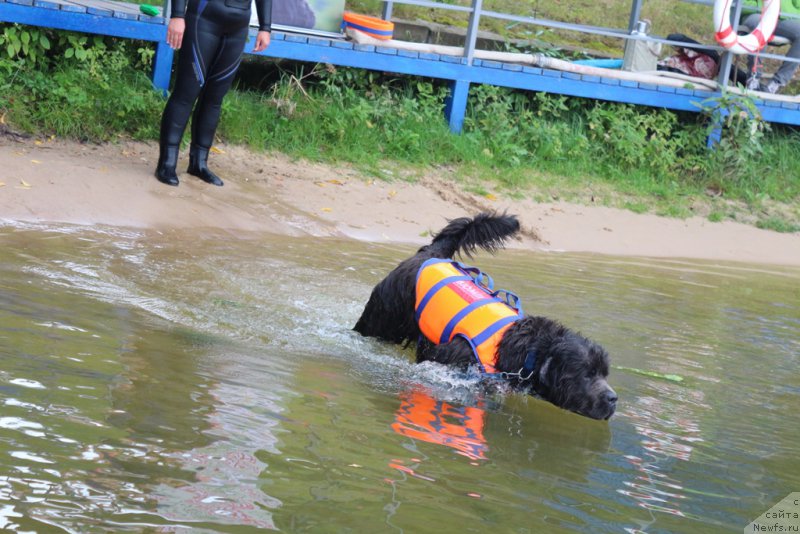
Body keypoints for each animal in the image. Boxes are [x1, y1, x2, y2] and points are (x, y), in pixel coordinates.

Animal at [352, 211, 620, 420]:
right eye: (587, 374)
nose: (613, 398)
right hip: (384, 313)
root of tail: (431, 254)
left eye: (604, 373)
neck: (523, 349)